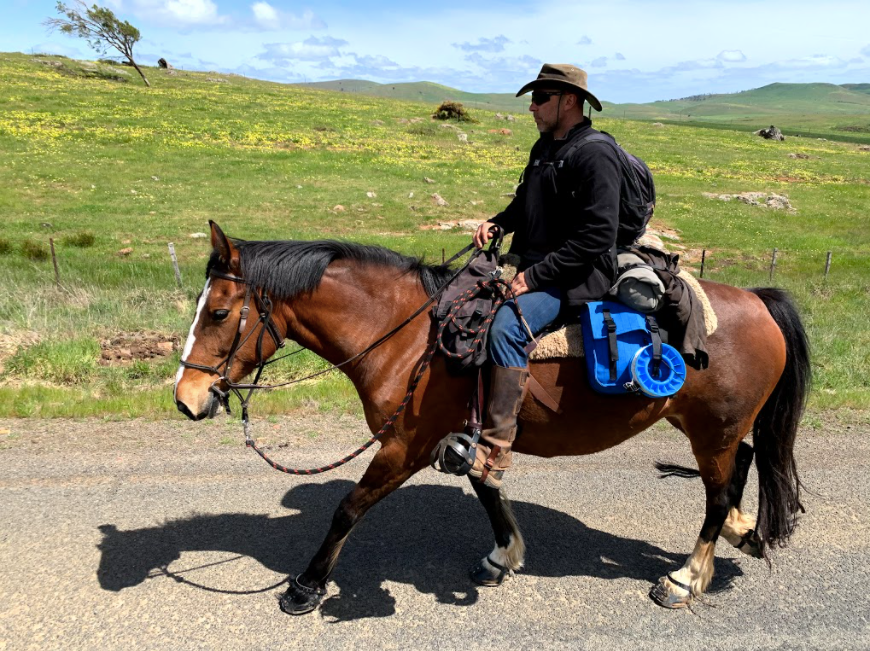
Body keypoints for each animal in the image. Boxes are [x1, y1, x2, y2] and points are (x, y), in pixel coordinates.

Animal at [174, 222, 816, 612]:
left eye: (220, 312)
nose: (186, 397)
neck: (409, 337)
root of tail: (760, 301)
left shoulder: (406, 444)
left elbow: (347, 508)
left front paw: (305, 587)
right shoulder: (466, 435)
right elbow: (486, 486)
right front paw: (502, 556)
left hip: (714, 429)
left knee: (716, 492)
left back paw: (685, 577)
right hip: (709, 426)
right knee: (743, 465)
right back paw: (742, 533)